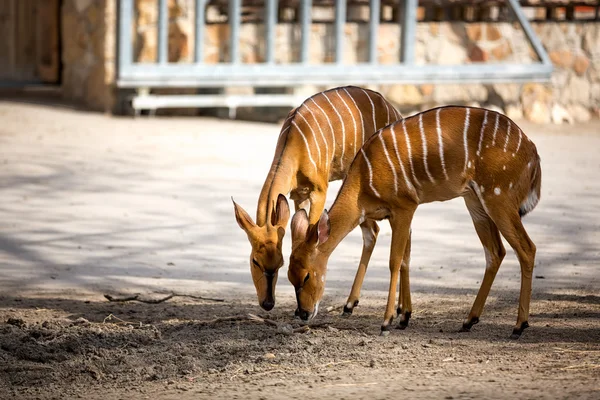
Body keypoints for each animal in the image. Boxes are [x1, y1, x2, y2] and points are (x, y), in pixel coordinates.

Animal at [232, 87, 400, 312]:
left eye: (279, 263)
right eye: (255, 261)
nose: (267, 303)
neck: (295, 140)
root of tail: (393, 110)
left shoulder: (319, 191)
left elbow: (312, 232)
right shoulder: (298, 195)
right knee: (372, 231)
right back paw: (350, 303)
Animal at [288, 105, 540, 338]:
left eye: (307, 275)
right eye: (290, 277)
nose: (304, 313)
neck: (364, 179)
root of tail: (532, 150)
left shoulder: (405, 207)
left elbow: (394, 261)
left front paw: (387, 321)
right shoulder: (395, 215)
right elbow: (406, 260)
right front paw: (404, 317)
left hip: (498, 197)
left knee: (526, 248)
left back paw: (519, 326)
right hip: (475, 201)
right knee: (495, 252)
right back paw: (469, 320)